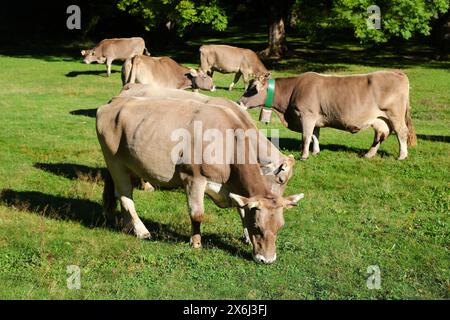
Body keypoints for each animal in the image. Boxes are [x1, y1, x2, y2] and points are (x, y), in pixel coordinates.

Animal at [96, 95, 304, 264]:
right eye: (258, 227)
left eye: (280, 227)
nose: (267, 260)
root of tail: (114, 102)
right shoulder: (193, 178)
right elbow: (197, 214)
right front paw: (196, 243)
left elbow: (242, 210)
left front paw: (245, 237)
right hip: (114, 161)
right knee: (126, 197)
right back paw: (141, 230)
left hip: (129, 163)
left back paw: (124, 224)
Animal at [237, 70, 416, 160]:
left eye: (252, 89)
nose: (239, 102)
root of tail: (397, 72)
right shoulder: (316, 117)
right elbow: (315, 135)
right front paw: (315, 152)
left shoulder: (307, 115)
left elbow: (306, 136)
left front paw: (304, 156)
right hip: (380, 119)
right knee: (381, 134)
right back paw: (368, 154)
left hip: (395, 115)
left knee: (401, 132)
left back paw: (402, 156)